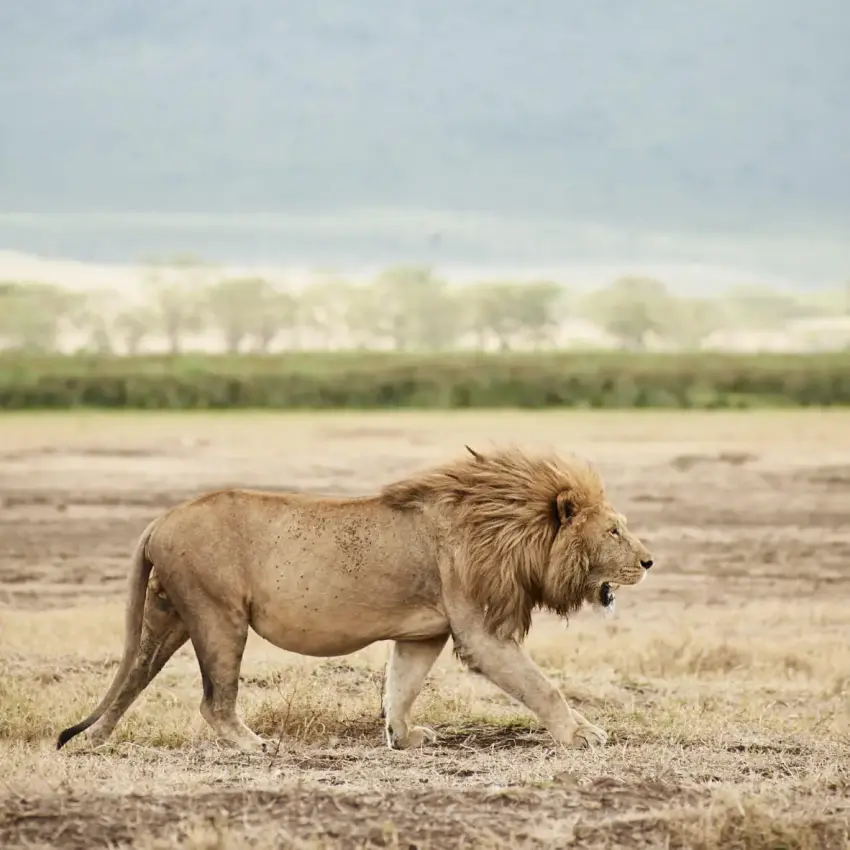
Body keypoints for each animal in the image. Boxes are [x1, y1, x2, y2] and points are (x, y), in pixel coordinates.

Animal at [56, 445, 653, 754]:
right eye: (615, 531)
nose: (649, 562)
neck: (510, 528)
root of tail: (160, 520)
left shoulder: (423, 633)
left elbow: (401, 688)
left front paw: (403, 737)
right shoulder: (482, 632)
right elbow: (542, 687)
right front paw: (584, 734)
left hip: (170, 615)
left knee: (132, 679)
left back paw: (94, 740)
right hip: (218, 614)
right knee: (213, 701)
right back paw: (254, 745)